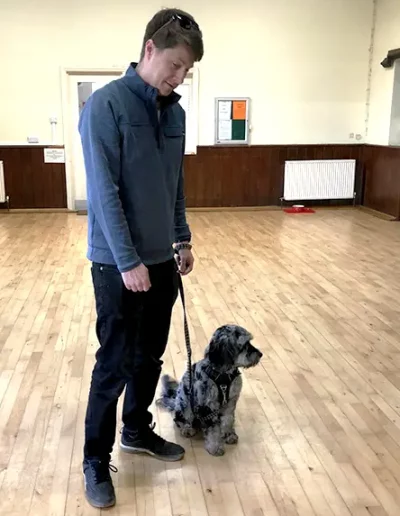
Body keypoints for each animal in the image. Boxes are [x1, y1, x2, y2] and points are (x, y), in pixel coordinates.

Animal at [158, 324, 264, 458]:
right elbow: (213, 430)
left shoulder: (230, 403)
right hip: (185, 403)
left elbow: (228, 420)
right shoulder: (208, 407)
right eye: (244, 344)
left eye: (249, 341)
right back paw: (187, 428)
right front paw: (215, 448)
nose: (260, 354)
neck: (223, 376)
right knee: (180, 419)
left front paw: (229, 435)